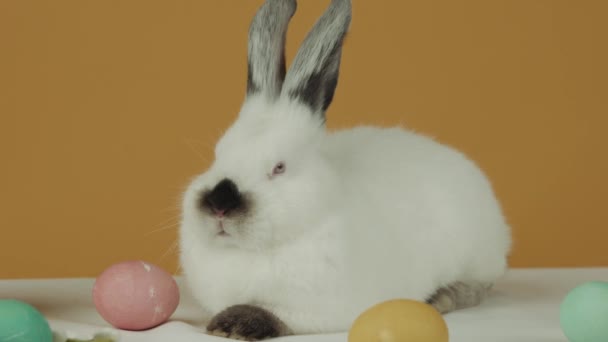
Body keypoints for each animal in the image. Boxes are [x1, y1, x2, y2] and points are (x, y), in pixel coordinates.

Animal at [177, 0, 512, 338]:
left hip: (476, 257)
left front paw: (236, 324)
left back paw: (442, 297)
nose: (219, 204)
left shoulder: (322, 310)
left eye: (279, 167)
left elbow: (278, 314)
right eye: (218, 154)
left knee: (478, 286)